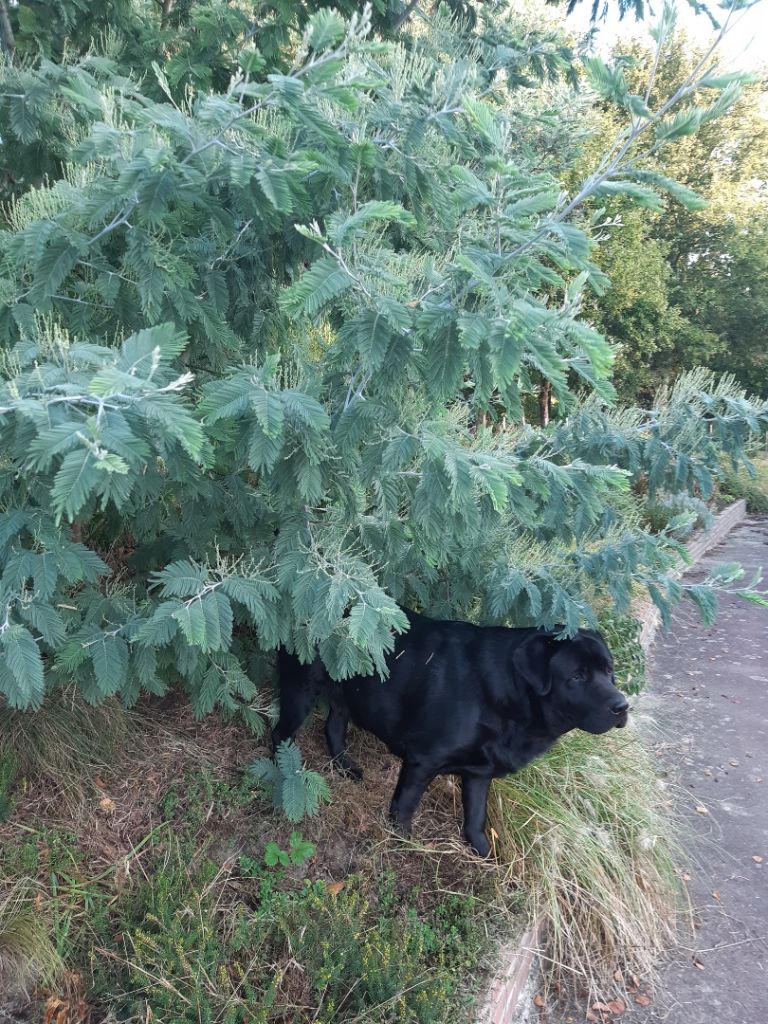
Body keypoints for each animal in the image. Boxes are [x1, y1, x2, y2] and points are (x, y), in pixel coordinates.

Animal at [274, 606, 626, 856]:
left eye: (609, 671)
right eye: (577, 676)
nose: (622, 706)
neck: (505, 695)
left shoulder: (479, 773)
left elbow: (476, 818)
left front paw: (482, 852)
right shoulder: (423, 759)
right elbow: (405, 805)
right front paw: (402, 842)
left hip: (346, 694)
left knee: (334, 726)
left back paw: (345, 767)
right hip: (300, 690)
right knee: (281, 734)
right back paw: (284, 773)